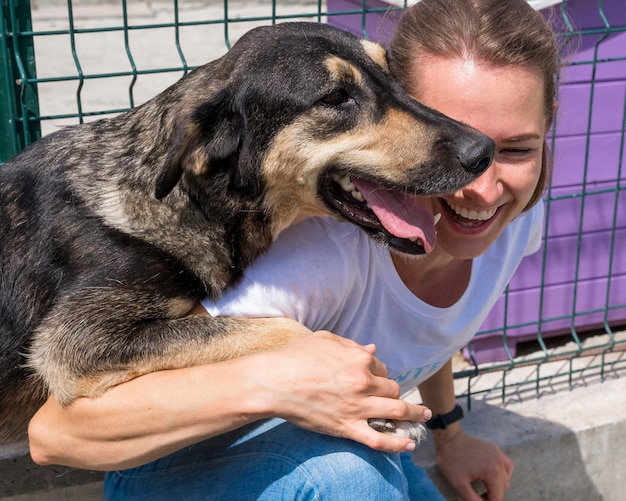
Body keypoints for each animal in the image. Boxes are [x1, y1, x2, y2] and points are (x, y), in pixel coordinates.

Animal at [0, 22, 492, 442]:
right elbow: (287, 332)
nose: (484, 150)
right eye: (336, 97)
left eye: (391, 73)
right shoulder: (75, 343)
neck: (189, 201)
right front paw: (376, 403)